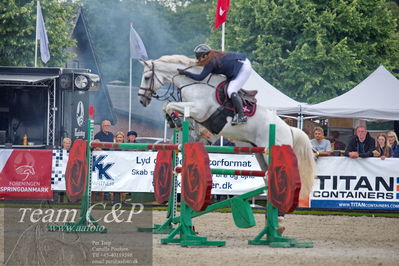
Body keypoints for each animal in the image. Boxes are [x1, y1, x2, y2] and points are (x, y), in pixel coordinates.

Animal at [139, 55, 318, 200]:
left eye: (147, 77)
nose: (142, 100)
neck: (194, 83)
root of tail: (289, 129)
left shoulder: (199, 110)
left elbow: (170, 105)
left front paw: (174, 120)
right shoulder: (197, 115)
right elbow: (170, 108)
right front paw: (176, 123)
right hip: (260, 154)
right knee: (267, 177)